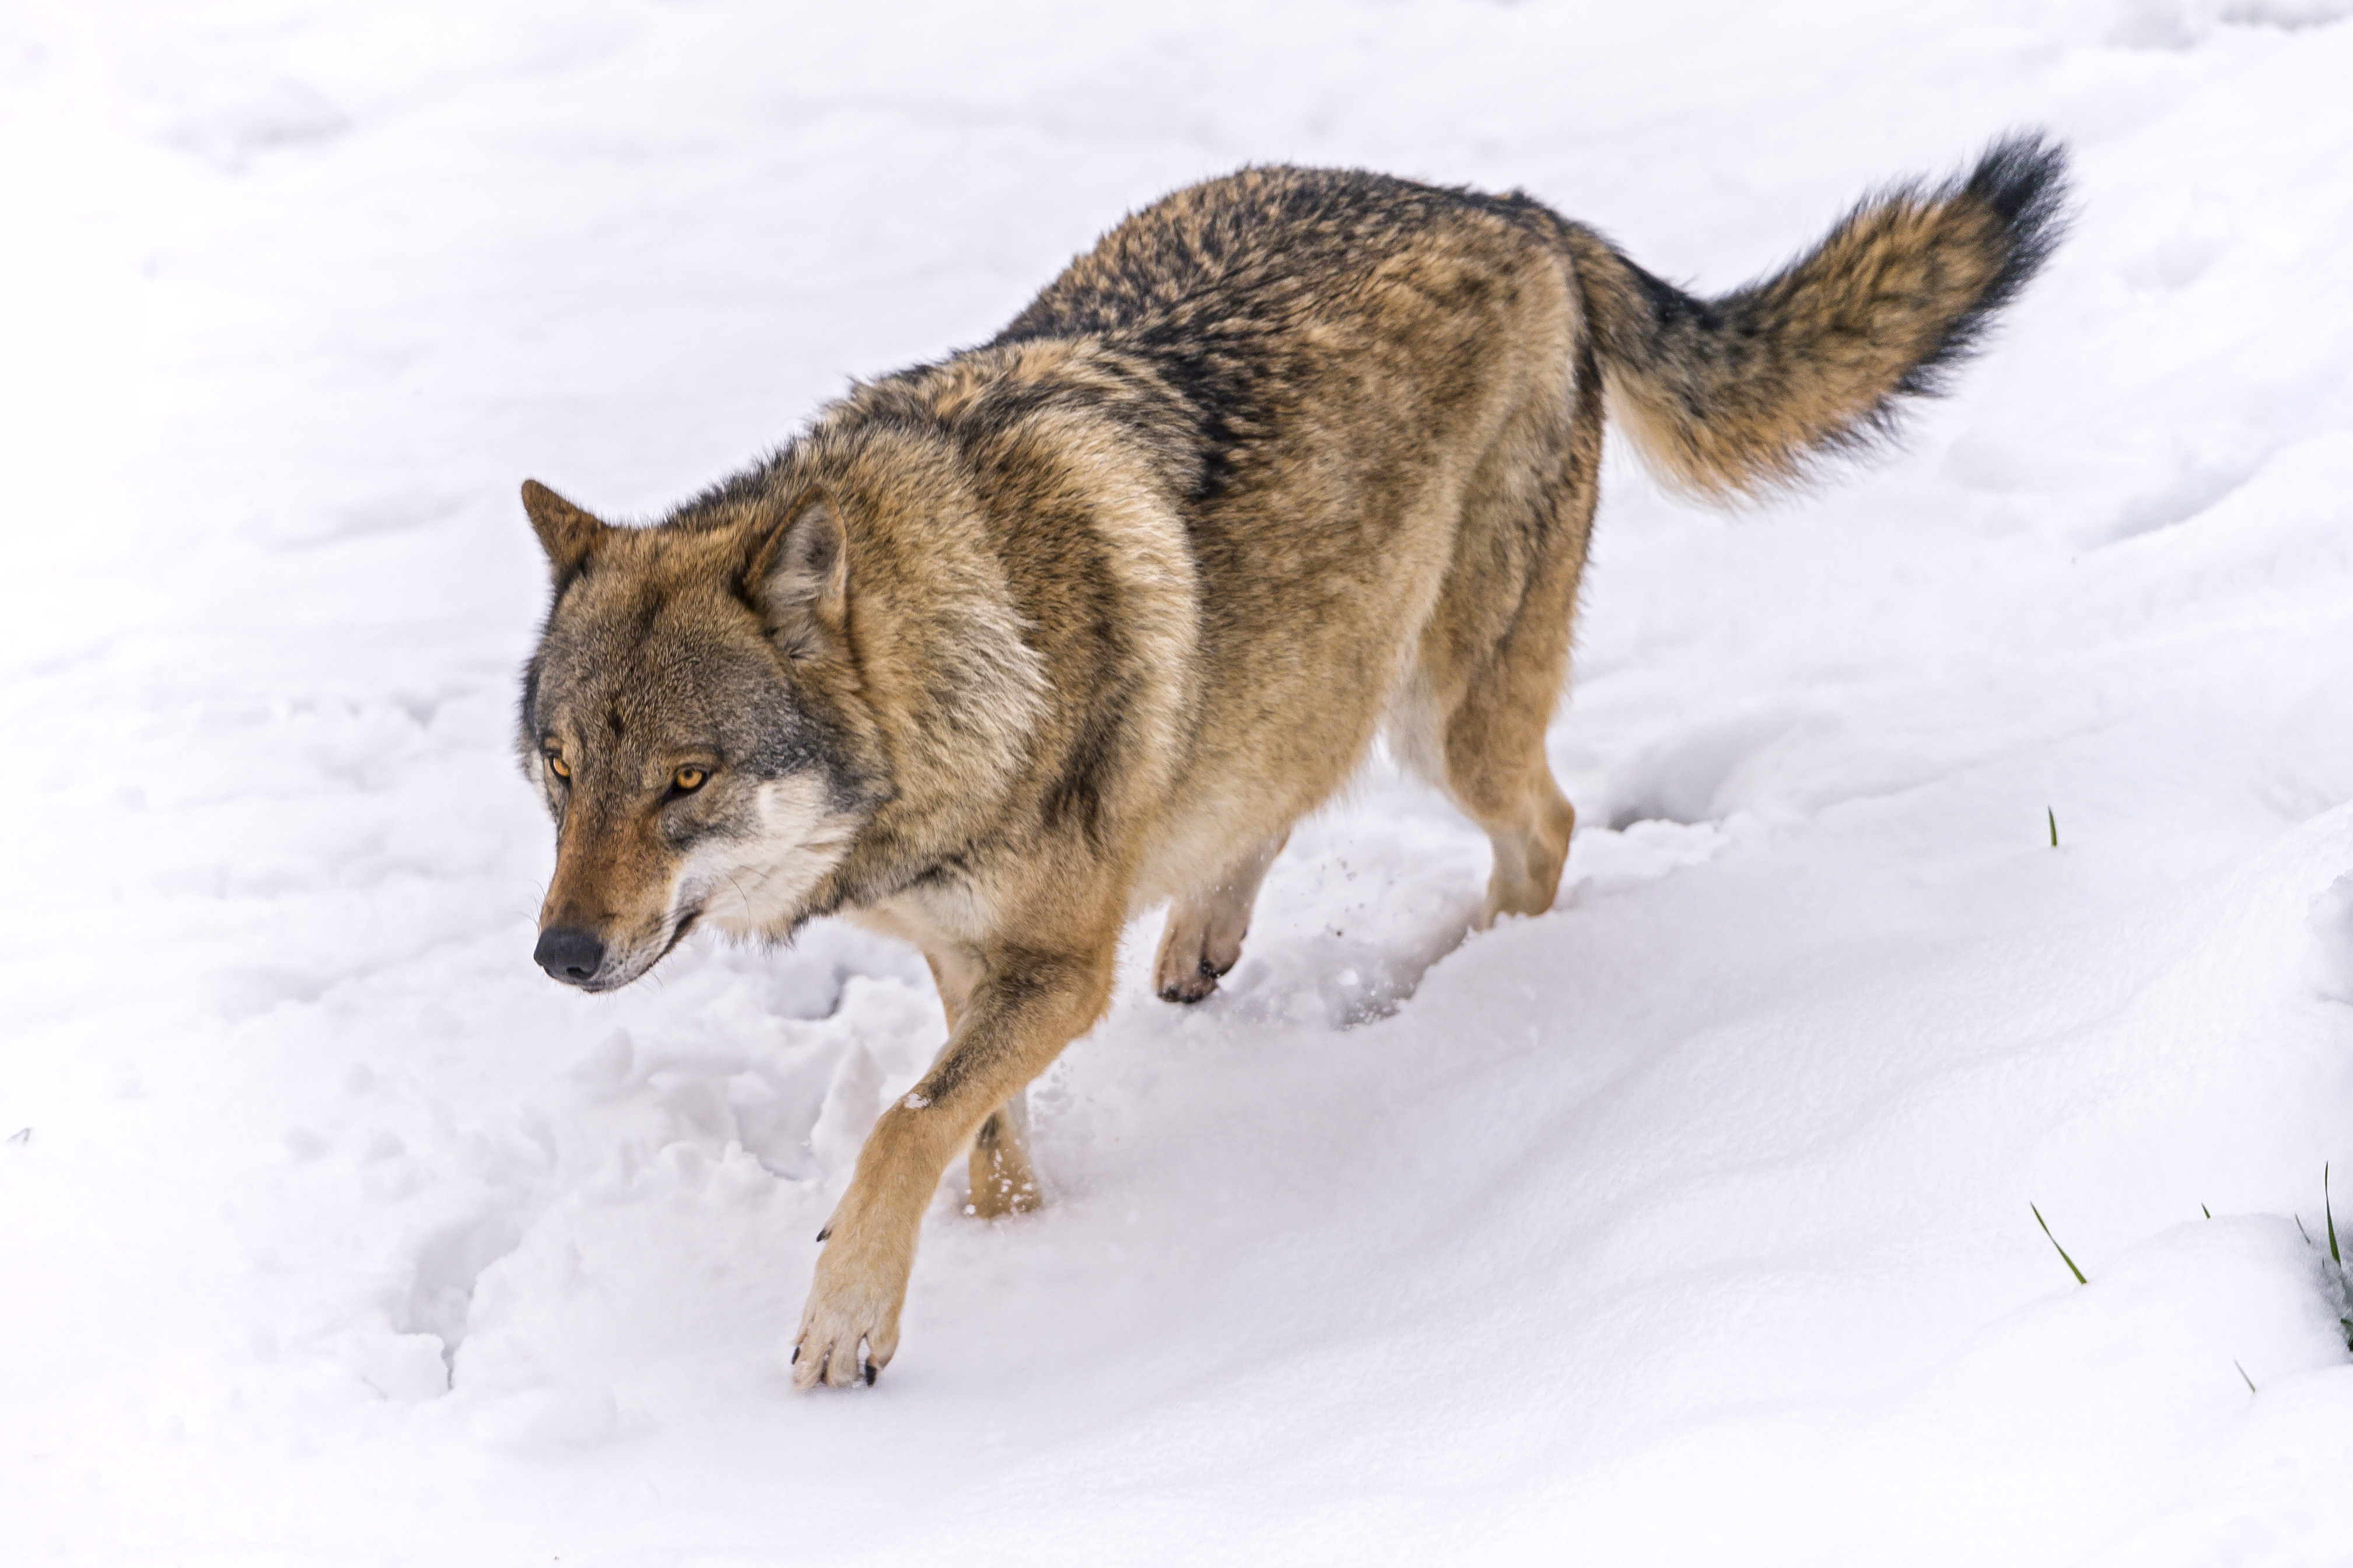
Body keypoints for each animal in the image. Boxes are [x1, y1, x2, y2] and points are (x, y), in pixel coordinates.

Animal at [510, 131, 2061, 1382]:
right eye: (563, 769)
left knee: (1543, 829)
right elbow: (973, 1133)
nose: (560, 957)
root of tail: (1520, 212)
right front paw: (1021, 1251)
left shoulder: (1057, 974)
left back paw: (1448, 991)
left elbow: (904, 1126)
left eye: (687, 779)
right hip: (1330, 662)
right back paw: (1211, 936)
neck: (960, 658)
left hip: (1448, 712)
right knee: (1284, 790)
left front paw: (847, 1326)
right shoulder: (963, 950)